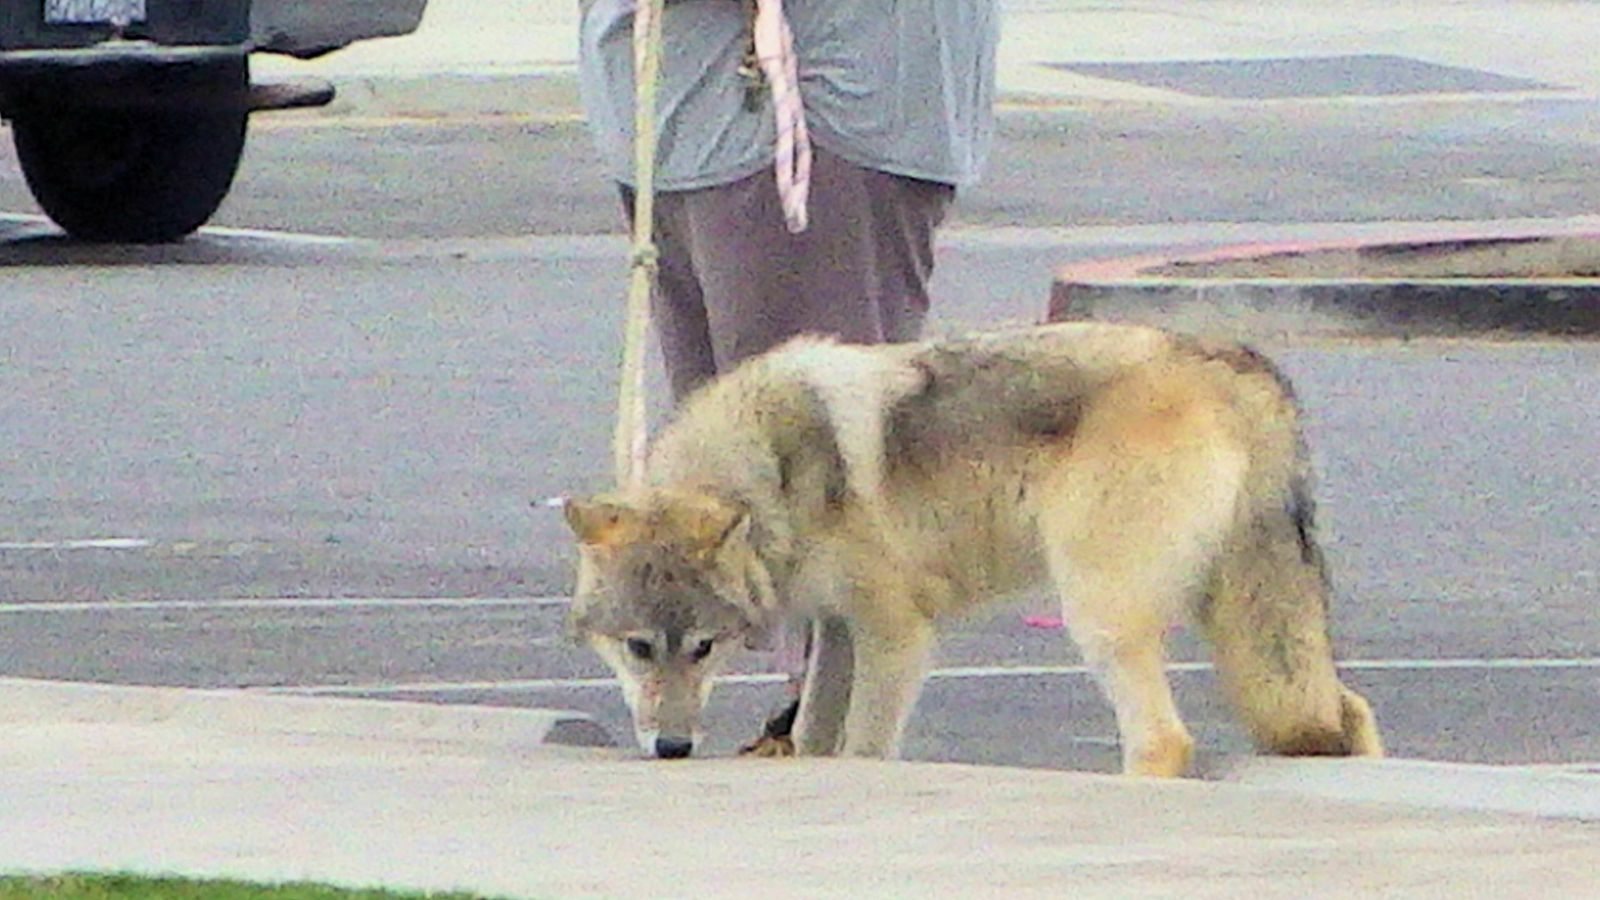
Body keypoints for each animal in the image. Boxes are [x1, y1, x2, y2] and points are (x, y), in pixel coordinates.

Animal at [562, 322, 1383, 774]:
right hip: (1248, 631)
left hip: (1100, 616)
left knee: (1164, 742)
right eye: (638, 648)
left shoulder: (896, 635)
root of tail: (1230, 362)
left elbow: (863, 749)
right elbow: (814, 738)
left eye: (702, 648)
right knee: (1345, 711)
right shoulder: (837, 629)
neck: (779, 468)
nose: (672, 749)